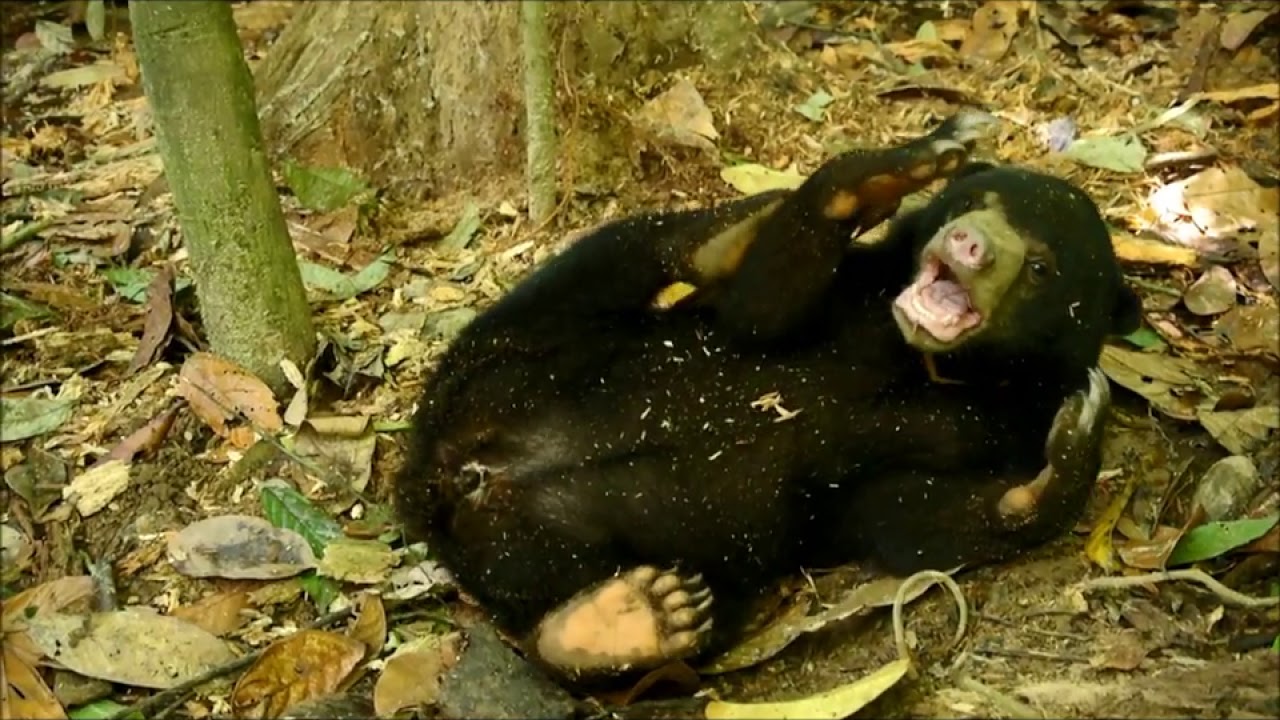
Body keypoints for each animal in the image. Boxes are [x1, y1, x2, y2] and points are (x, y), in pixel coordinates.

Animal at [392, 109, 1143, 684]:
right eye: (972, 207)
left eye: (1040, 267)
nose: (967, 244)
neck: (930, 364)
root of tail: (440, 484)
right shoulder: (854, 295)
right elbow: (760, 313)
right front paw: (919, 158)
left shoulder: (972, 434)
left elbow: (906, 518)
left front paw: (1079, 428)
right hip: (504, 347)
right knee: (633, 250)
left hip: (574, 554)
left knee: (559, 613)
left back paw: (642, 614)